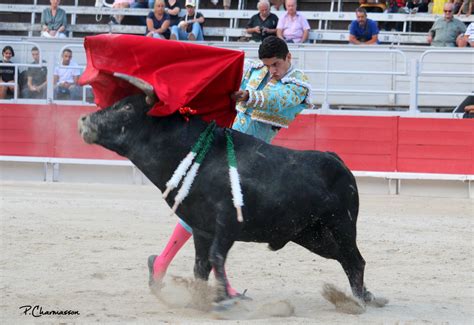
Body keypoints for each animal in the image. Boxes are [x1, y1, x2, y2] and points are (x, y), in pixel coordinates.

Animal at [78, 91, 386, 308]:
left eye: (127, 107)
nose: (84, 120)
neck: (197, 156)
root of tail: (335, 159)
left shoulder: (227, 223)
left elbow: (216, 257)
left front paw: (222, 296)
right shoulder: (201, 227)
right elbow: (201, 265)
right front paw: (204, 298)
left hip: (341, 225)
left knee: (355, 260)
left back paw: (360, 301)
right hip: (312, 235)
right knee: (345, 258)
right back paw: (365, 296)